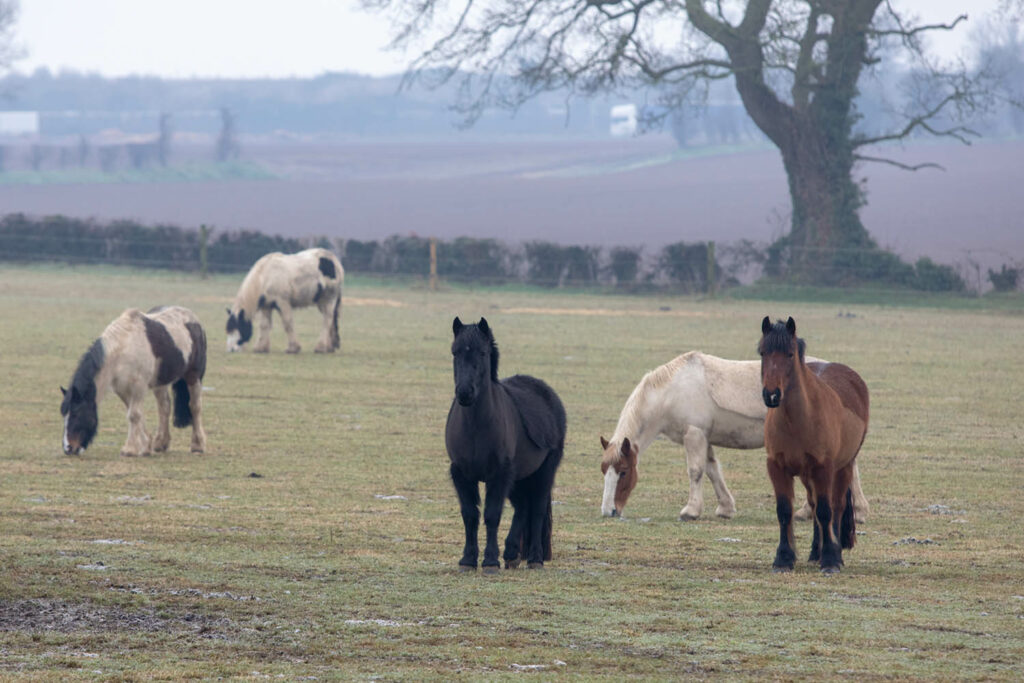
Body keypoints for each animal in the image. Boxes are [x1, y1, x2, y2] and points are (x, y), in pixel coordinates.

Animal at [60, 305, 208, 456]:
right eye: (64, 415)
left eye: (76, 415)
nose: (68, 448)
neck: (123, 348)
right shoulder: (122, 388)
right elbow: (135, 414)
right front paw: (146, 446)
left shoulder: (138, 386)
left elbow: (133, 415)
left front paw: (129, 449)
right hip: (160, 382)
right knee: (164, 407)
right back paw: (161, 443)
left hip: (194, 377)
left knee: (195, 406)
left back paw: (198, 445)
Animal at [444, 317, 569, 573]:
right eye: (455, 352)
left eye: (482, 353)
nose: (464, 393)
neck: (476, 427)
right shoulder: (461, 473)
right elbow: (470, 515)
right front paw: (468, 560)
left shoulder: (499, 474)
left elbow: (492, 515)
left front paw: (490, 561)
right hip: (519, 477)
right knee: (523, 508)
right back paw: (512, 554)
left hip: (543, 473)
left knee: (536, 510)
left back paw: (534, 559)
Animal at [598, 352, 868, 524]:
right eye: (605, 471)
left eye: (623, 472)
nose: (608, 511)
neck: (671, 391)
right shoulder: (704, 437)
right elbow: (712, 470)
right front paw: (725, 508)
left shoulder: (694, 434)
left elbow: (695, 471)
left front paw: (691, 511)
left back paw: (851, 512)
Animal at [757, 317, 868, 573]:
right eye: (762, 352)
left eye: (790, 354)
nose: (772, 395)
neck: (797, 420)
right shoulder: (777, 467)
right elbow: (784, 511)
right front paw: (783, 558)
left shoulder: (823, 468)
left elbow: (826, 511)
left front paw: (831, 559)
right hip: (808, 476)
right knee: (814, 504)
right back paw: (815, 552)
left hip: (842, 467)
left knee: (835, 507)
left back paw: (832, 552)